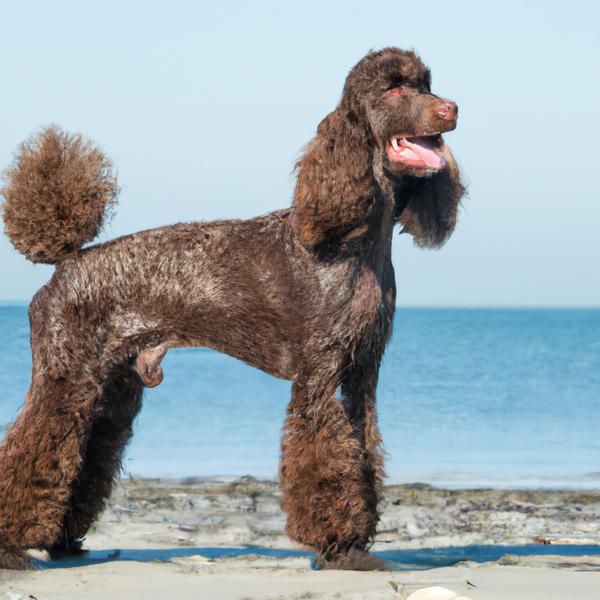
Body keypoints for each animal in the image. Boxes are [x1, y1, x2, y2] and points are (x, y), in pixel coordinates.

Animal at [0, 47, 464, 568]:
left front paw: (357, 543)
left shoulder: (363, 376)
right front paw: (339, 546)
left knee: (83, 457)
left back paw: (64, 542)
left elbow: (363, 455)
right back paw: (13, 548)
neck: (354, 240)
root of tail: (68, 260)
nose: (451, 109)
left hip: (110, 391)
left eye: (426, 84)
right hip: (65, 380)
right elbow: (326, 461)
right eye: (395, 88)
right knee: (31, 451)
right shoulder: (319, 378)